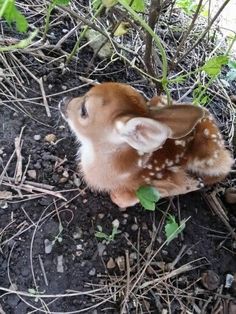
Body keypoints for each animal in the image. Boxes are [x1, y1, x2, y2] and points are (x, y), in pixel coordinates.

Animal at [60, 82, 233, 207]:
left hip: (208, 156)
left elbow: (121, 197)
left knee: (226, 167)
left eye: (84, 110)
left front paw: (189, 184)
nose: (64, 101)